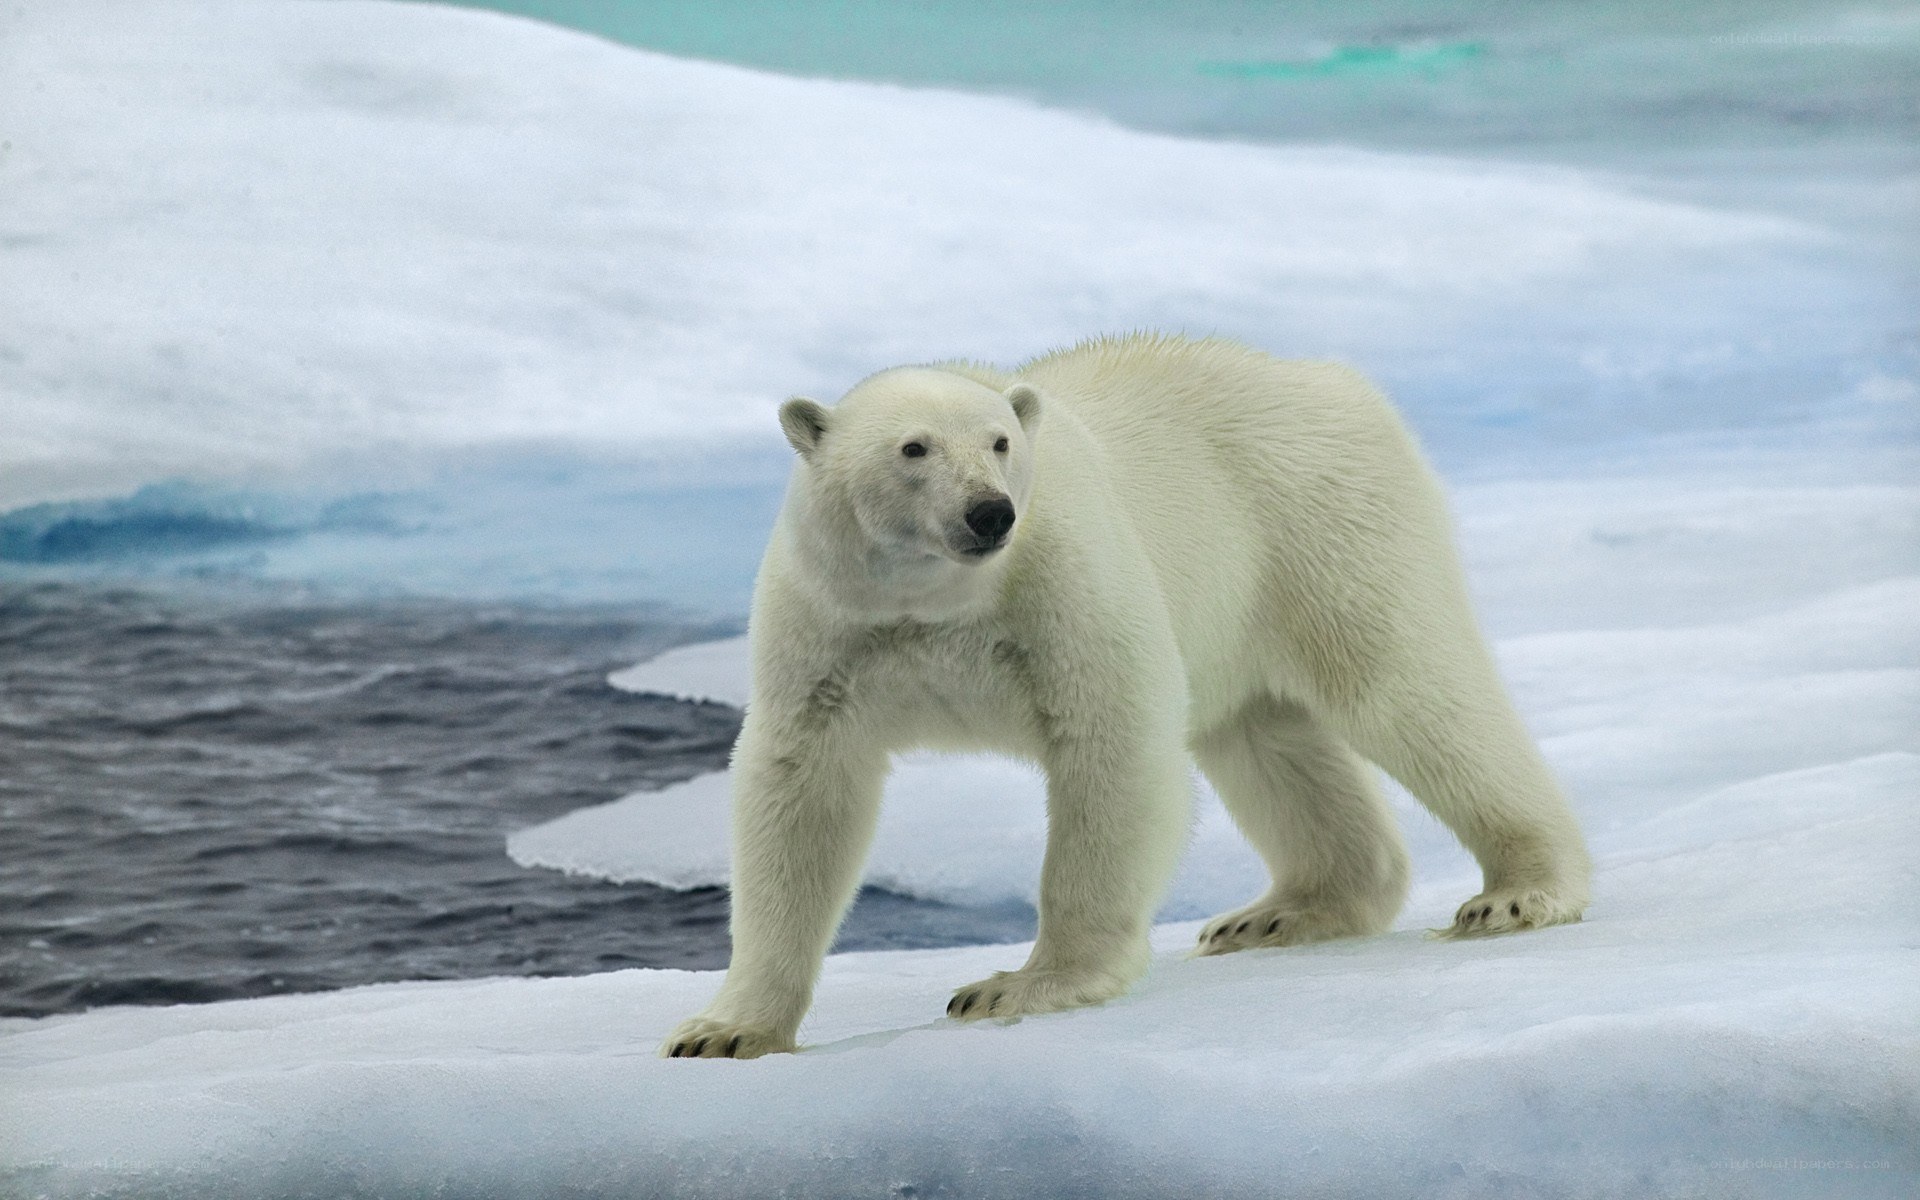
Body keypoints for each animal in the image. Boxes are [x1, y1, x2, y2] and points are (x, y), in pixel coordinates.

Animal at [662, 333, 1590, 1059]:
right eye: (913, 448)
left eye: (999, 442)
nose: (989, 514)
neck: (937, 605)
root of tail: (1329, 379)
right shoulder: (832, 629)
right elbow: (801, 792)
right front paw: (723, 1031)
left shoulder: (1061, 580)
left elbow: (1113, 741)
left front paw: (1017, 985)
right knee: (1265, 739)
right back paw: (1278, 913)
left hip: (1320, 525)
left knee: (1408, 689)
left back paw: (1517, 892)